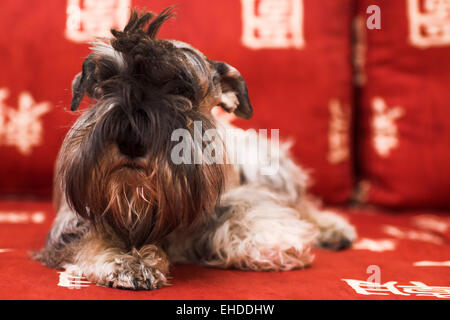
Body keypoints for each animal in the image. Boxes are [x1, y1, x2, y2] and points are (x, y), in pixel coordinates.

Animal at [32, 8, 356, 292]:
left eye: (182, 91)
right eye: (105, 83)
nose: (130, 141)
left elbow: (245, 211)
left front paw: (274, 245)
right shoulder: (73, 224)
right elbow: (93, 236)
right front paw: (125, 261)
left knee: (303, 204)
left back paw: (334, 229)